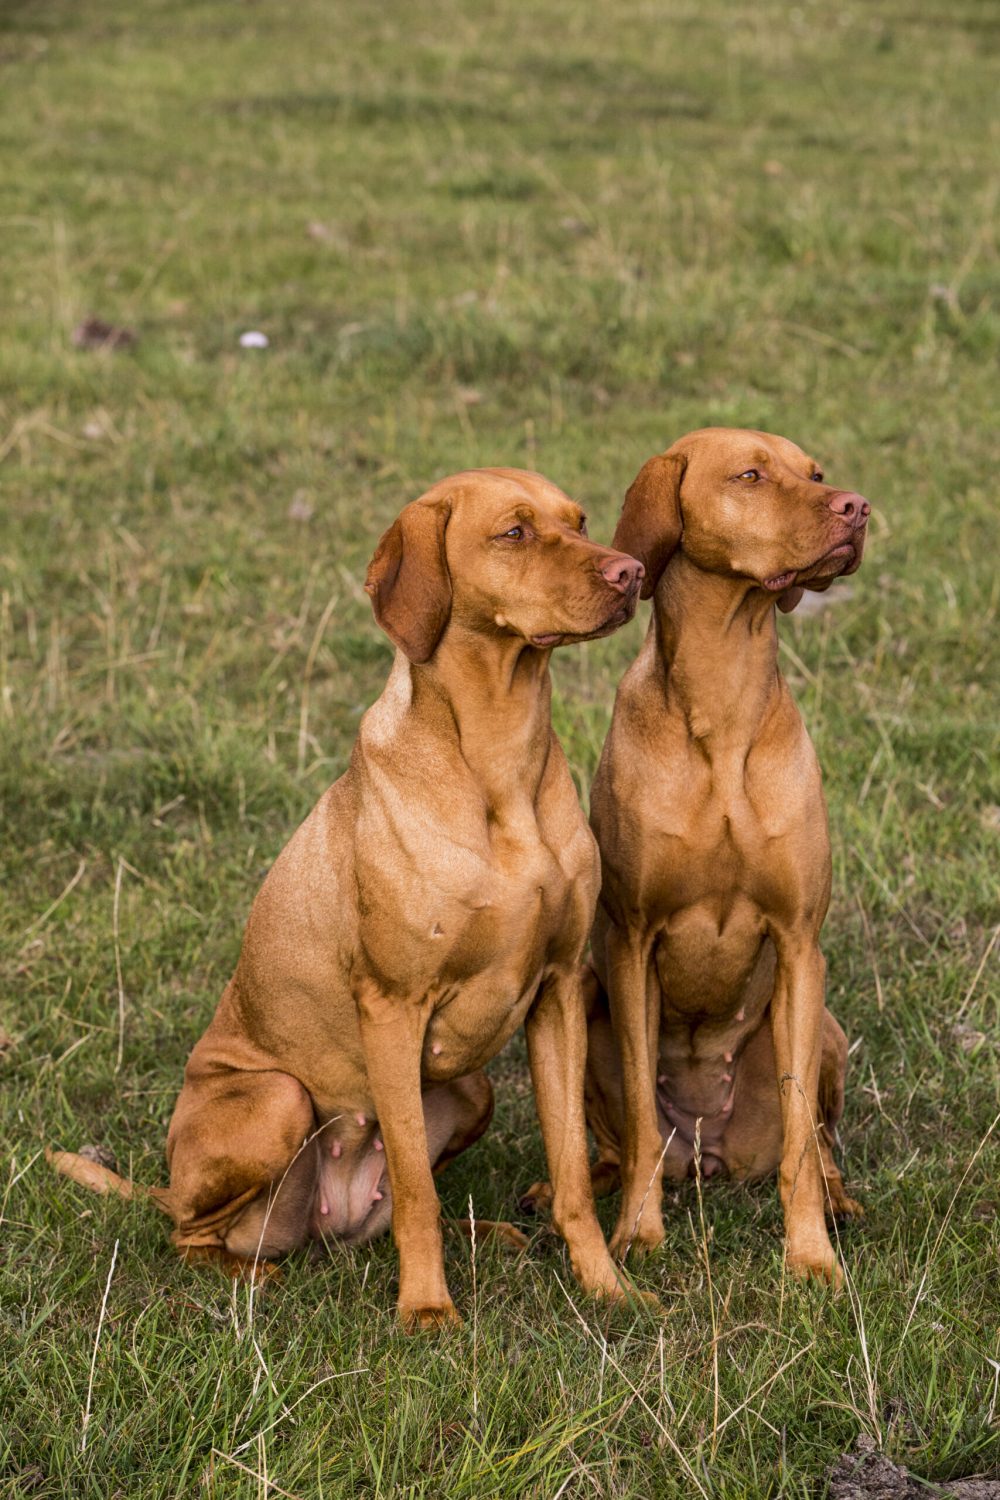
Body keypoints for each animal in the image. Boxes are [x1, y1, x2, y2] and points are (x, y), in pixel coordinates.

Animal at [52, 465, 650, 1326]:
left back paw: (491, 1233)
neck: (500, 759)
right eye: (514, 532)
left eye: (580, 521)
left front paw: (607, 1286)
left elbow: (568, 1172)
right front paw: (427, 1312)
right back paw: (251, 1278)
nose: (632, 572)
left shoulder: (562, 991)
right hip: (277, 1101)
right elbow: (416, 1191)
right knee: (195, 1234)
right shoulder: (393, 1007)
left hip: (469, 1089)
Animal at [539, 429, 869, 1284]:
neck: (723, 702)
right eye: (750, 475)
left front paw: (811, 1256)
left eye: (816, 472)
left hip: (821, 1024)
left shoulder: (799, 941)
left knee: (818, 1140)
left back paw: (838, 1199)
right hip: (590, 1004)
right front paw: (639, 1237)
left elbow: (798, 1138)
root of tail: (708, 1151)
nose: (857, 507)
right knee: (622, 1143)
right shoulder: (630, 942)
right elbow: (639, 1124)